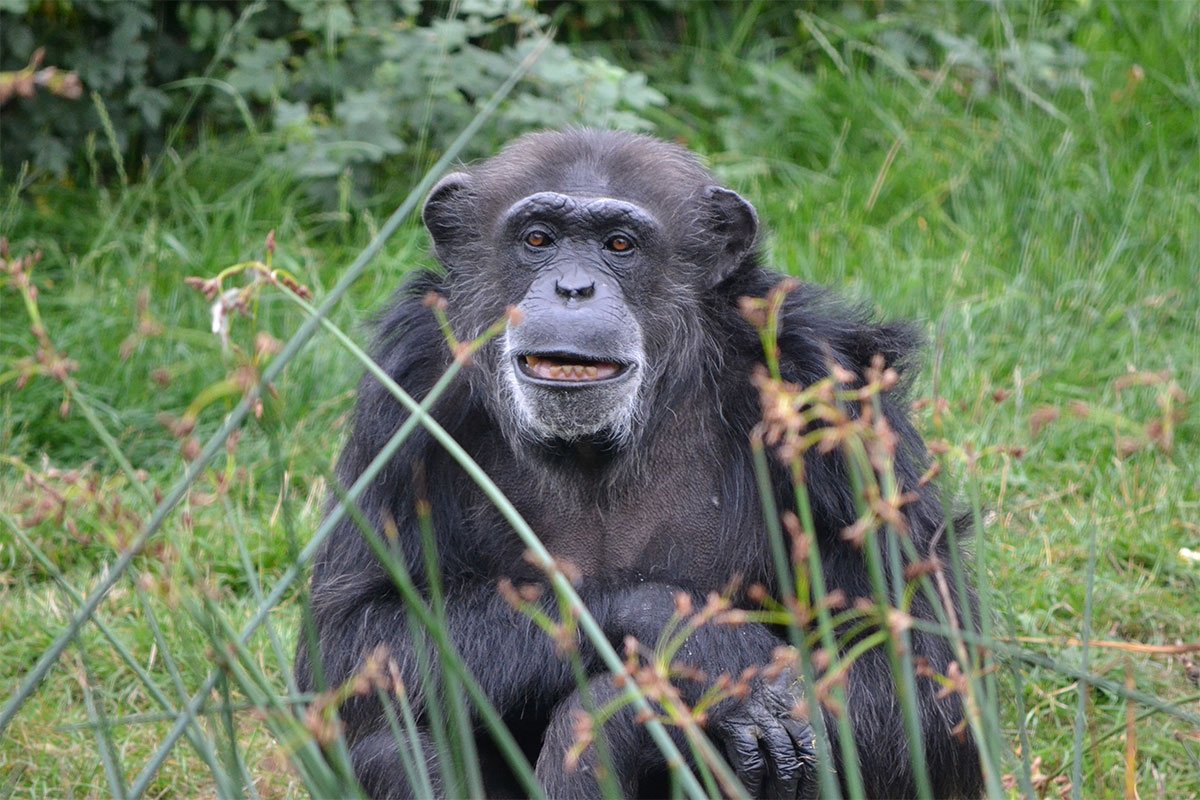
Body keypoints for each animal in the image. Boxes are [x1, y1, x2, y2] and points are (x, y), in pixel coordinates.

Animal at [295, 128, 979, 796]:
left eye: (619, 244)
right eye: (538, 238)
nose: (573, 288)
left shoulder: (824, 382)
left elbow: (921, 669)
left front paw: (625, 717)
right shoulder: (405, 386)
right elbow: (353, 642)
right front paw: (697, 645)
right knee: (393, 746)